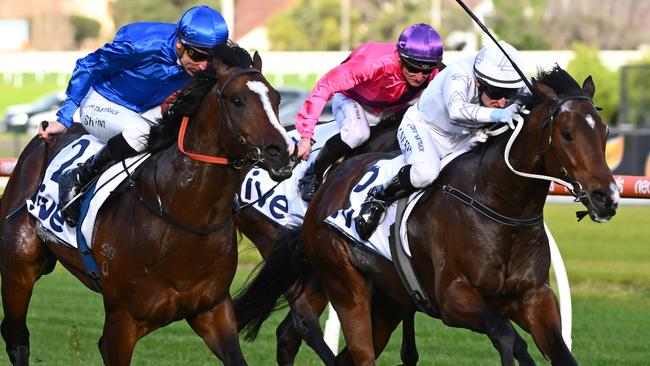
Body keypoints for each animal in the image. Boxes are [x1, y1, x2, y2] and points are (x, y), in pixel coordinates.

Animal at [0, 49, 292, 366]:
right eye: (237, 100)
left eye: (276, 98)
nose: (282, 153)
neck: (184, 216)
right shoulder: (121, 323)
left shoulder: (212, 310)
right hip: (18, 268)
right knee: (16, 337)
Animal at [234, 66, 616, 366]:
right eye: (567, 134)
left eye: (604, 131)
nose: (607, 197)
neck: (499, 205)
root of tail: (330, 185)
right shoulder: (452, 298)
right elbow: (508, 337)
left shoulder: (535, 299)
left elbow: (560, 353)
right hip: (343, 284)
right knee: (335, 339)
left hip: (385, 300)